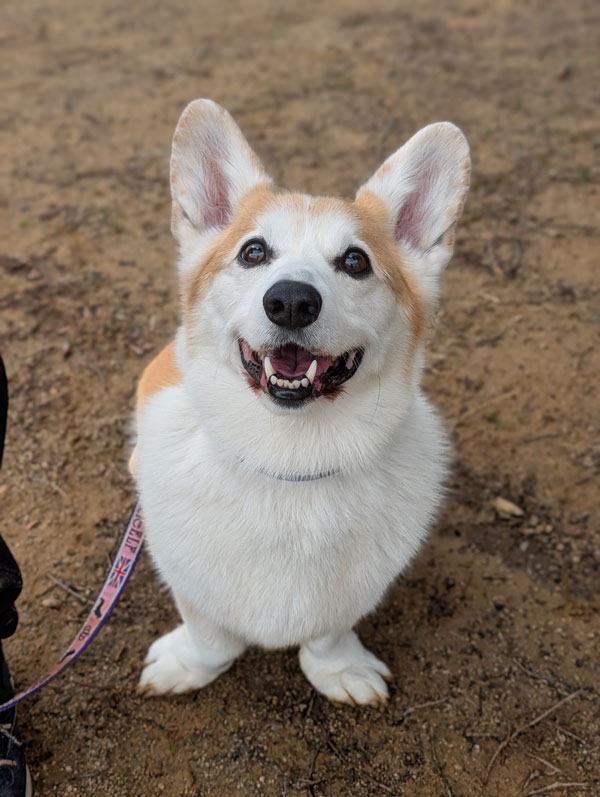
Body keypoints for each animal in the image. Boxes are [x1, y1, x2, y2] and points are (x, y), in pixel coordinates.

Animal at [130, 99, 470, 706]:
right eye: (254, 251)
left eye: (356, 262)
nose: (290, 301)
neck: (288, 460)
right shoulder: (188, 581)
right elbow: (208, 632)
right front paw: (188, 667)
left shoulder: (350, 592)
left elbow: (328, 633)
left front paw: (339, 671)